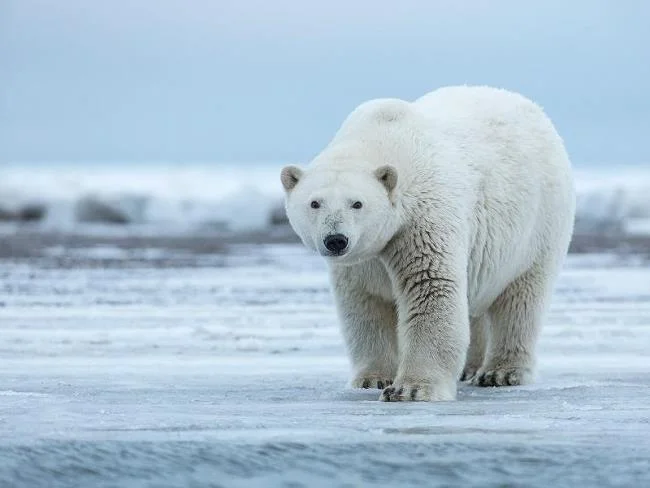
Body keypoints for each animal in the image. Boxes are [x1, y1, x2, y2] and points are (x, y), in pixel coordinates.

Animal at [280, 85, 575, 402]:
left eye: (357, 203)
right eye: (315, 203)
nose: (336, 240)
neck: (383, 136)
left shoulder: (422, 218)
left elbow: (431, 286)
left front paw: (410, 389)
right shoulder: (364, 259)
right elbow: (366, 304)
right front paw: (372, 379)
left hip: (538, 224)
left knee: (521, 298)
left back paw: (501, 372)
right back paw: (470, 368)